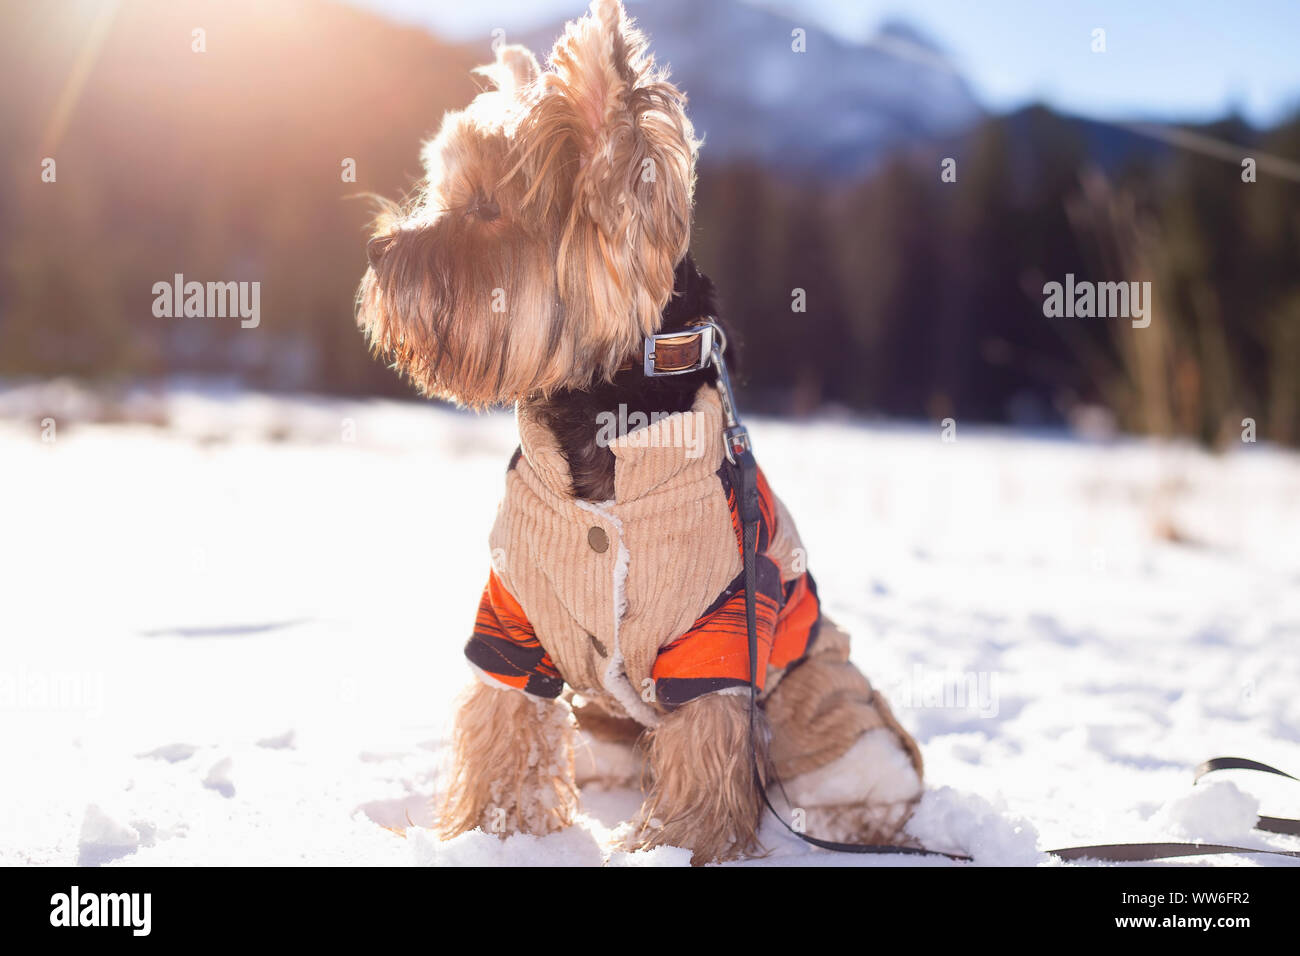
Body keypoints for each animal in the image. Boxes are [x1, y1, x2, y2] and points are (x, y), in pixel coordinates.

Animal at [356, 0, 925, 868]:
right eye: (442, 189)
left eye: (486, 209)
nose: (380, 251)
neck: (601, 417)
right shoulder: (513, 610)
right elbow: (503, 718)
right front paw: (493, 828)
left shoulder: (721, 622)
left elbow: (707, 741)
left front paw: (680, 841)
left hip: (817, 695)